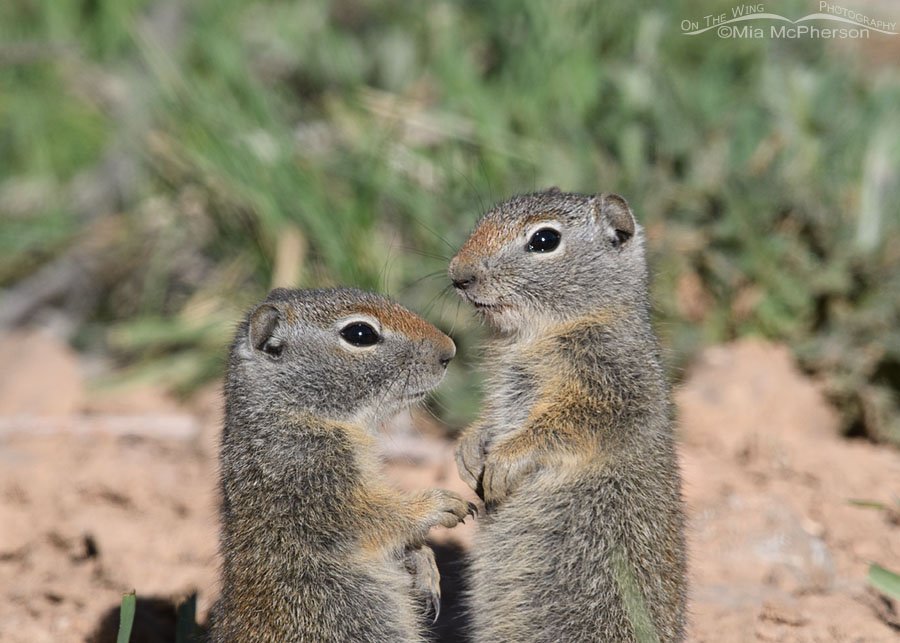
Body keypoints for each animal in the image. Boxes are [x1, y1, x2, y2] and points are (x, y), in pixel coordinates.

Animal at [210, 287, 474, 643]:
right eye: (360, 334)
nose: (449, 350)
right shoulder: (310, 478)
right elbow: (376, 516)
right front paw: (439, 504)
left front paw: (425, 566)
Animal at [449, 189, 687, 642]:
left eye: (544, 240)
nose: (458, 274)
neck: (540, 333)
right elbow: (491, 420)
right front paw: (469, 451)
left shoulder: (607, 389)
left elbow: (558, 427)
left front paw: (503, 465)